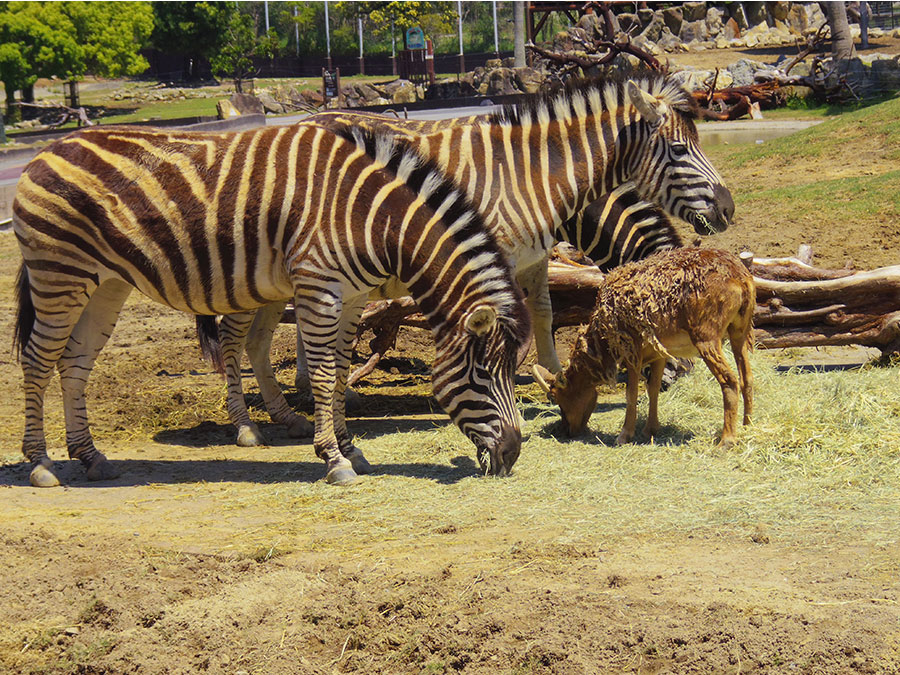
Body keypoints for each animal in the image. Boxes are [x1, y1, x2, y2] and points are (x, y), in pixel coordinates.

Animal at [12, 124, 528, 488]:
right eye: (482, 374)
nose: (513, 453)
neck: (375, 219)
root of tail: (49, 148)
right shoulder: (320, 287)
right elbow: (322, 375)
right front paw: (334, 460)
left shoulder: (353, 297)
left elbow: (342, 371)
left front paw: (350, 448)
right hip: (59, 274)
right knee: (37, 361)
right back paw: (41, 465)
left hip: (106, 284)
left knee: (74, 364)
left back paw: (91, 458)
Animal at [214, 71, 720, 446]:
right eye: (680, 150)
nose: (680, 376)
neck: (540, 177)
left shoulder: (535, 254)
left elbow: (542, 312)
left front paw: (554, 377)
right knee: (234, 339)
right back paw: (248, 427)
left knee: (263, 338)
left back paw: (297, 408)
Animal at [536, 248, 756, 448]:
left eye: (557, 397)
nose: (567, 431)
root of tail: (741, 278)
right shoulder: (658, 354)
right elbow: (653, 388)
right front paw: (650, 429)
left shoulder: (631, 351)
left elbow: (631, 393)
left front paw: (624, 435)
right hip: (740, 332)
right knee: (746, 378)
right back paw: (748, 426)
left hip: (706, 337)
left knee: (730, 380)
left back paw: (726, 441)